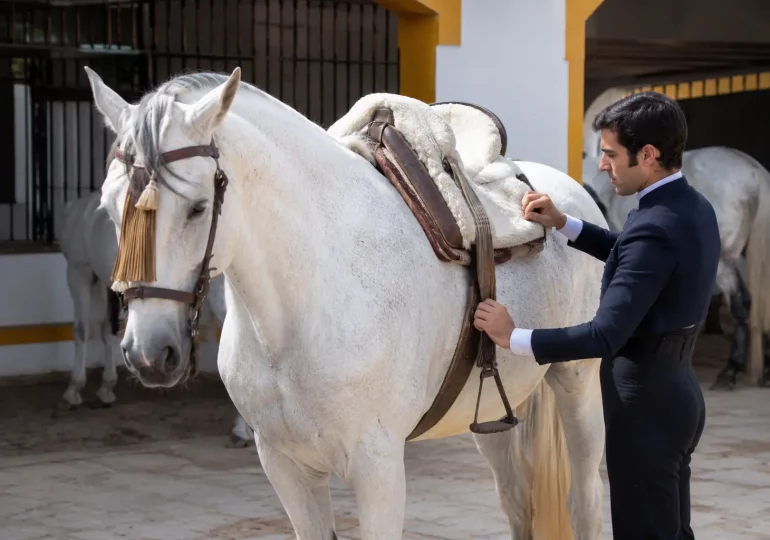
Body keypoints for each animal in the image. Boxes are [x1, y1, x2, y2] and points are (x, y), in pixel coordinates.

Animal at [57, 190, 254, 444]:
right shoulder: (106, 282)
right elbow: (108, 330)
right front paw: (106, 387)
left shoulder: (79, 271)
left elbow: (81, 330)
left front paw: (74, 389)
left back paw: (242, 428)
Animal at [85, 66, 609, 539]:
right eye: (109, 207)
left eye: (197, 208)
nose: (149, 354)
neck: (303, 311)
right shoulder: (284, 465)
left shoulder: (378, 468)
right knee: (517, 503)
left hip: (577, 385)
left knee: (583, 502)